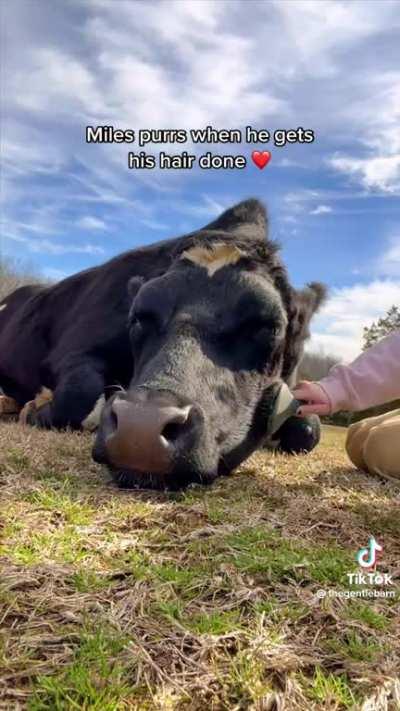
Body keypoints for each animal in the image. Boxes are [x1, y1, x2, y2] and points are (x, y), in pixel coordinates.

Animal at [0, 200, 325, 489]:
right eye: (137, 318)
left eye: (269, 326)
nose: (141, 427)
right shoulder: (71, 350)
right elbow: (79, 395)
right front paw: (34, 410)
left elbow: (309, 429)